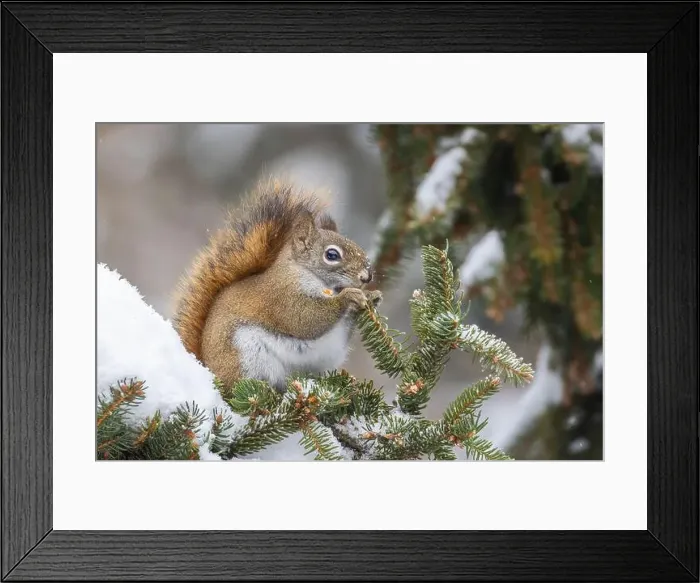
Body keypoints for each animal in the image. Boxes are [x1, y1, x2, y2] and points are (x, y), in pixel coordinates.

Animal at [171, 179, 382, 392]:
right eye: (332, 255)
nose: (367, 276)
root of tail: (208, 370)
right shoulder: (282, 296)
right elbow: (305, 319)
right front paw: (348, 297)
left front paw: (372, 296)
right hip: (246, 356)